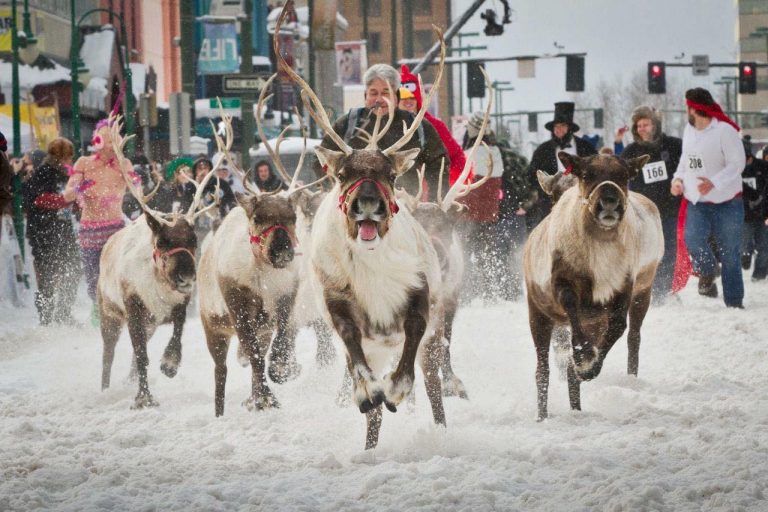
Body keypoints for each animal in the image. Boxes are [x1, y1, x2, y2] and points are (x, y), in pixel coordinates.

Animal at [98, 117, 219, 409]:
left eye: (193, 241)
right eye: (162, 241)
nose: (187, 277)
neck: (158, 283)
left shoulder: (177, 305)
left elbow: (177, 333)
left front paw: (169, 364)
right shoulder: (133, 307)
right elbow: (142, 356)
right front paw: (143, 398)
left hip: (149, 324)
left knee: (132, 355)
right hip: (108, 311)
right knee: (109, 354)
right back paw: (106, 389)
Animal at [275, 3, 492, 449]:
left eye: (391, 175)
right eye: (343, 174)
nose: (368, 207)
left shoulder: (423, 302)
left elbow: (411, 360)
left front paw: (396, 390)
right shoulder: (338, 306)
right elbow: (357, 365)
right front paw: (367, 393)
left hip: (436, 325)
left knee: (433, 382)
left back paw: (438, 425)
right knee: (373, 405)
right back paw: (370, 444)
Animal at [523, 152, 663, 420]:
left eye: (624, 175)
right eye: (587, 174)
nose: (609, 201)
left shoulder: (624, 288)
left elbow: (618, 327)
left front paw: (588, 366)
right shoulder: (562, 284)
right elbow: (571, 309)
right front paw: (583, 354)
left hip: (643, 292)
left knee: (632, 336)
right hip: (537, 313)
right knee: (542, 369)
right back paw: (542, 415)